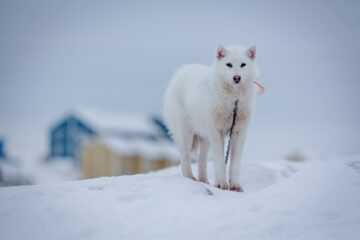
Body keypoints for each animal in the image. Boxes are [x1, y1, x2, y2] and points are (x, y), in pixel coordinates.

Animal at [163, 44, 258, 191]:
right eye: (229, 65)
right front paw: (221, 184)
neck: (233, 101)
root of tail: (180, 72)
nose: (236, 77)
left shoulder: (238, 133)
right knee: (185, 159)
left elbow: (235, 164)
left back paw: (204, 180)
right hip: (186, 135)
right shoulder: (217, 133)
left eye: (243, 64)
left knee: (201, 160)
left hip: (205, 138)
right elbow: (219, 162)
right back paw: (190, 178)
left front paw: (235, 185)